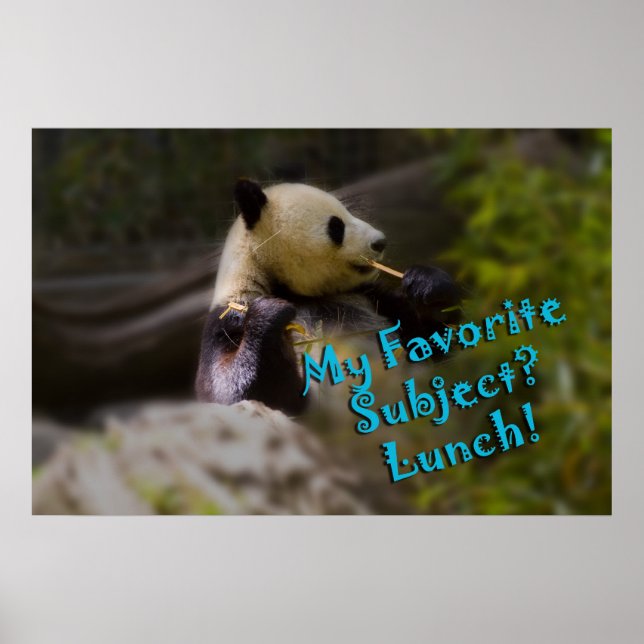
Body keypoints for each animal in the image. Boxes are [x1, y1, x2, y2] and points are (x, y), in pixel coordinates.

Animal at [196, 179, 459, 415]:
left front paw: (427, 286)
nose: (380, 242)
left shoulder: (372, 298)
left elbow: (436, 346)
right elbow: (235, 390)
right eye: (336, 226)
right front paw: (269, 313)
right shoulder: (228, 318)